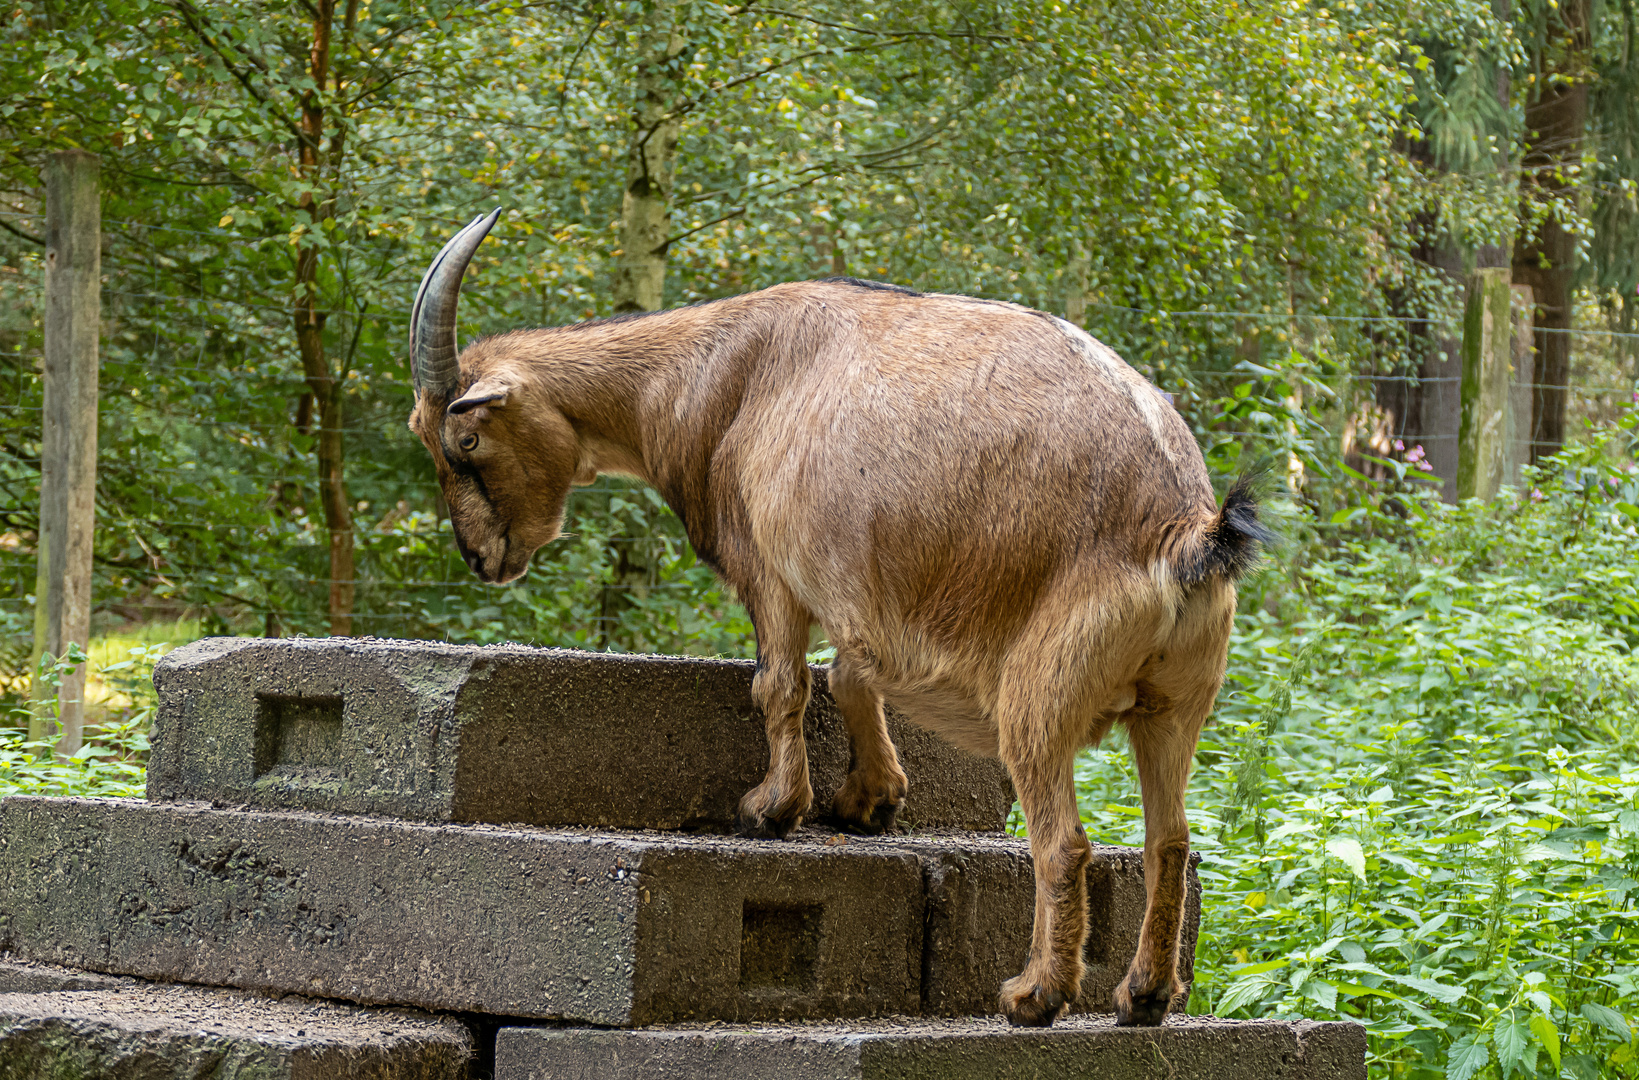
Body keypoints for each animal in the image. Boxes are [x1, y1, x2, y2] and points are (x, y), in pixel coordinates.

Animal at [406, 213, 1265, 1029]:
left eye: (465, 440)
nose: (483, 558)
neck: (708, 375)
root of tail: (1181, 527)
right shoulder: (861, 593)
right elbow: (850, 675)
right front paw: (870, 799)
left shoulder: (769, 568)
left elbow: (780, 684)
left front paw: (770, 809)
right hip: (1175, 704)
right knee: (1169, 841)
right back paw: (1143, 995)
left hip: (1038, 692)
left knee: (1062, 842)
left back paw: (1034, 995)